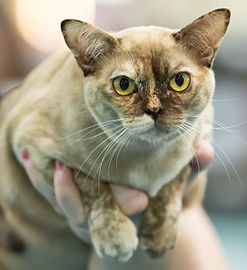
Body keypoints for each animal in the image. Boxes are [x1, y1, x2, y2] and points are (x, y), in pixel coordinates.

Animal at [0, 8, 231, 270]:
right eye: (123, 85)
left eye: (179, 81)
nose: (154, 110)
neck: (147, 158)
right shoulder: (34, 149)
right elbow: (93, 187)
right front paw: (116, 239)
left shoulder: (198, 141)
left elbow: (171, 186)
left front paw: (158, 238)